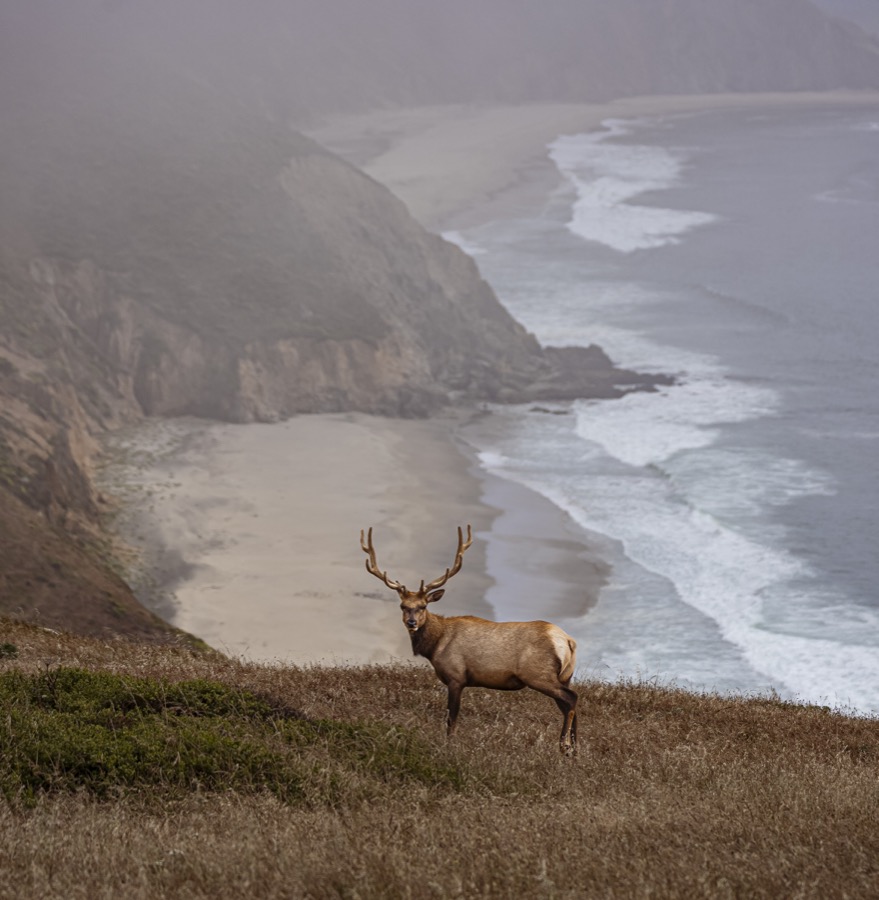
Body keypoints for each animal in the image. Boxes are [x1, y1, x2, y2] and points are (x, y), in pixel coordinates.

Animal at [360, 524, 578, 755]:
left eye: (423, 606)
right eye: (403, 606)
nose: (411, 623)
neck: (435, 645)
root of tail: (568, 641)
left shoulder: (456, 677)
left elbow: (451, 719)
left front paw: (449, 746)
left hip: (538, 674)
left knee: (571, 698)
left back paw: (564, 745)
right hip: (565, 675)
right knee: (568, 704)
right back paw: (574, 749)